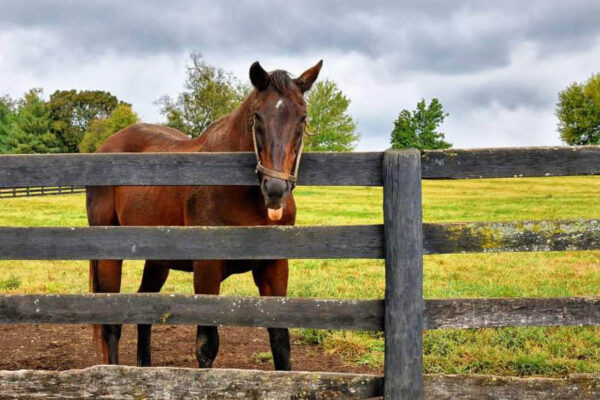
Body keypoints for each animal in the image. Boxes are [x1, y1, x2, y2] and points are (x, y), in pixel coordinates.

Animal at [86, 57, 322, 370]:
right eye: (257, 116)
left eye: (302, 118)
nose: (275, 188)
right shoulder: (207, 270)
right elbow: (207, 346)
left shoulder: (274, 268)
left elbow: (280, 342)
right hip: (109, 256)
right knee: (111, 323)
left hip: (157, 260)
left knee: (144, 307)